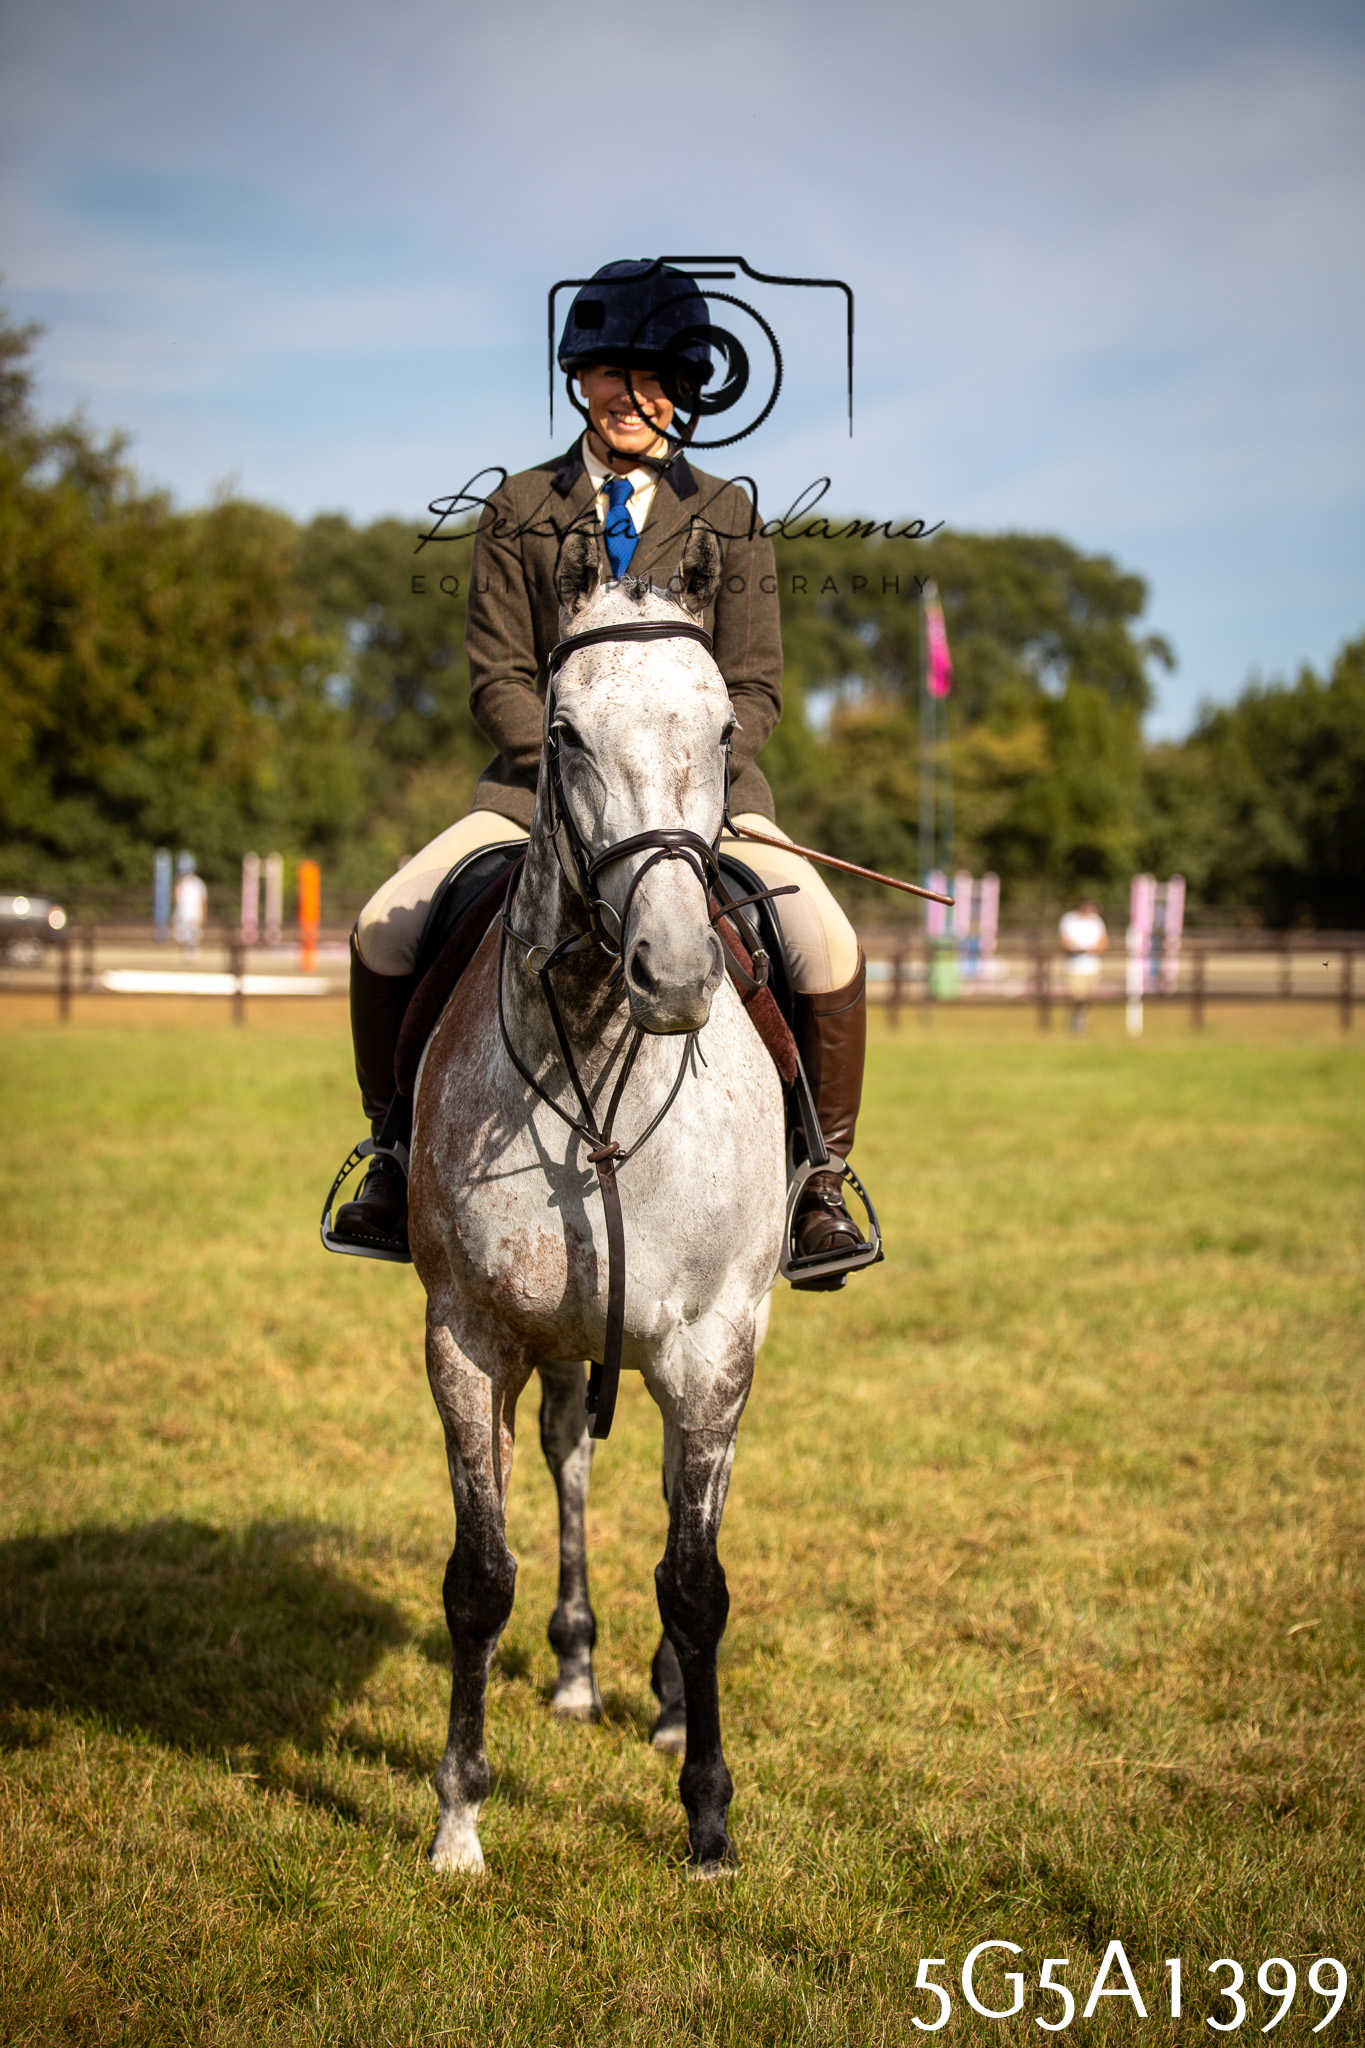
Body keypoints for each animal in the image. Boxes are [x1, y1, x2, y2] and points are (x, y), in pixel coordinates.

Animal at [406, 523, 788, 1875]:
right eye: (563, 731)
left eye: (723, 727)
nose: (672, 970)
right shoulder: (468, 1335)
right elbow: (480, 1574)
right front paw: (459, 1814)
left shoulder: (714, 1342)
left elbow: (699, 1577)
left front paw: (710, 1814)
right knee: (571, 1457)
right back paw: (577, 1669)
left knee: (676, 1507)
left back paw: (668, 1702)